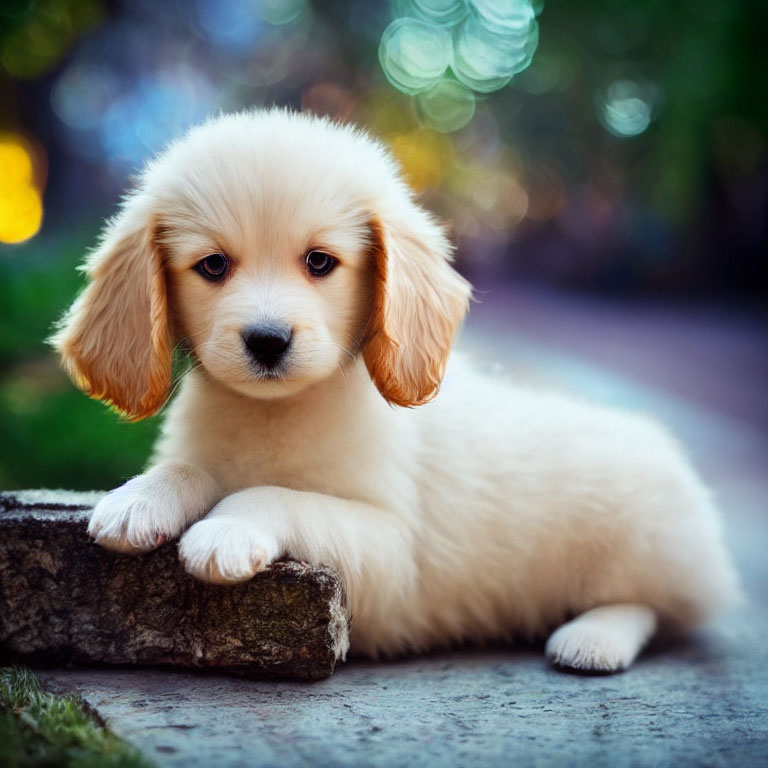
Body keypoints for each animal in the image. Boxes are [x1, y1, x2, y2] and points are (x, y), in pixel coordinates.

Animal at [51, 108, 740, 672]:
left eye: (320, 262)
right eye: (213, 265)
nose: (267, 341)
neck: (276, 417)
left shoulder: (392, 554)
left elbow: (274, 494)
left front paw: (228, 528)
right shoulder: (209, 455)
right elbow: (193, 469)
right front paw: (140, 498)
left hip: (641, 538)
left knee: (655, 608)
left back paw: (593, 639)